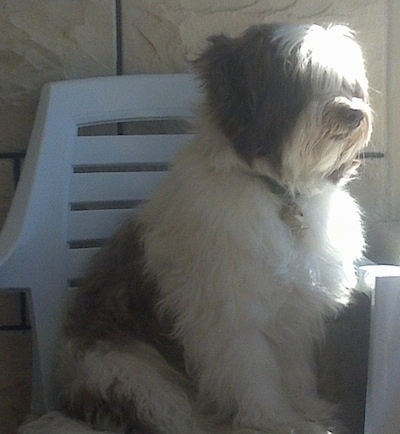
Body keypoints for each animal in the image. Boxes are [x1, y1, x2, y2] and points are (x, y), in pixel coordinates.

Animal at [58, 24, 372, 434]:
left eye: (348, 83)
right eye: (299, 79)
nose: (352, 112)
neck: (279, 192)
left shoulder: (291, 312)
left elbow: (292, 369)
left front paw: (305, 410)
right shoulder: (229, 312)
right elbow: (252, 372)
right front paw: (273, 418)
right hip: (126, 367)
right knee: (161, 405)